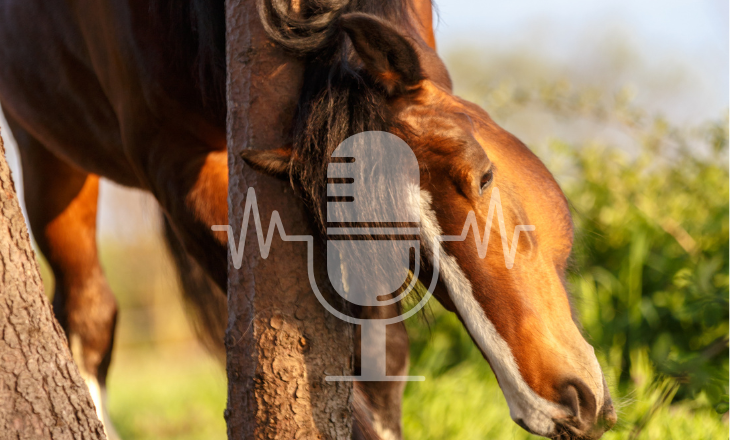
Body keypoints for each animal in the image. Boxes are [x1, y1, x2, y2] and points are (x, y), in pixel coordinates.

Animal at [0, 0, 617, 439]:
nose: (557, 404)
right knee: (89, 315)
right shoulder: (176, 168)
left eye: (484, 178)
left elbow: (384, 359)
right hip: (46, 151)